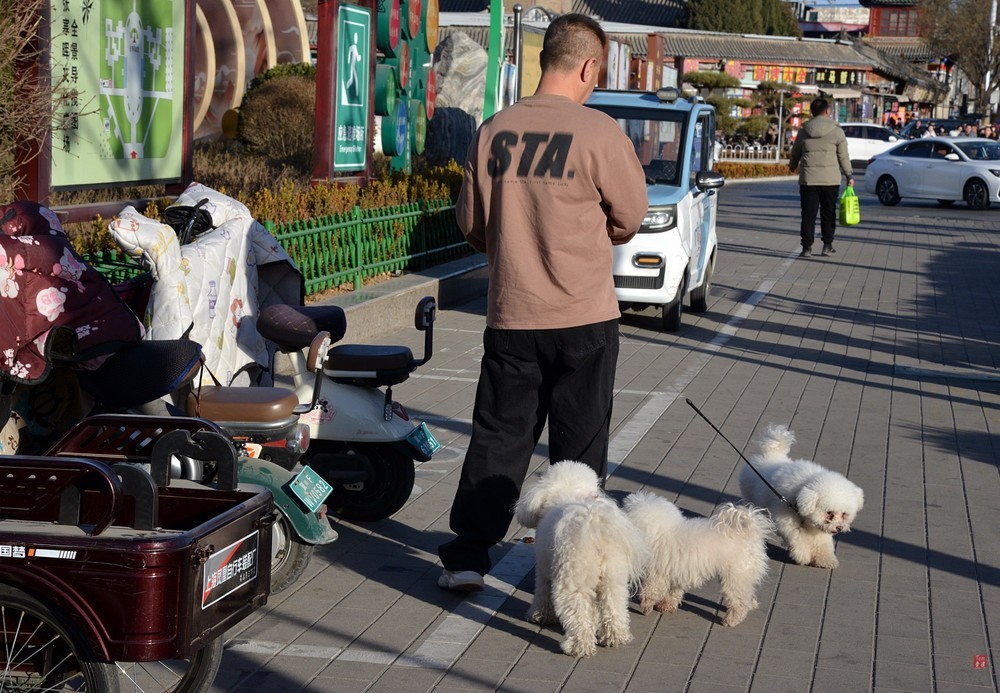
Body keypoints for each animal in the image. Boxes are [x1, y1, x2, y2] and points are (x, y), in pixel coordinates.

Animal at [514, 461, 648, 658]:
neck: (569, 490)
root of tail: (595, 529)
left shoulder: (544, 569)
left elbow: (542, 593)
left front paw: (539, 615)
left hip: (572, 580)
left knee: (578, 617)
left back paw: (579, 647)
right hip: (612, 579)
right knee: (614, 608)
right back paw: (615, 637)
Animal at [623, 492, 773, 627]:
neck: (661, 533)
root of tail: (750, 535)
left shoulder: (657, 575)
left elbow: (650, 592)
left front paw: (646, 608)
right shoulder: (676, 574)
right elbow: (673, 592)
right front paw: (666, 606)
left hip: (735, 577)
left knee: (739, 602)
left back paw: (731, 620)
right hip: (744, 576)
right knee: (747, 594)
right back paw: (752, 604)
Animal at [740, 424, 864, 569]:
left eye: (844, 514)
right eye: (829, 513)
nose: (839, 528)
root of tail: (770, 453)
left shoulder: (817, 528)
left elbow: (822, 541)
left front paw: (826, 559)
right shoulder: (786, 519)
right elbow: (797, 537)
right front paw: (803, 556)